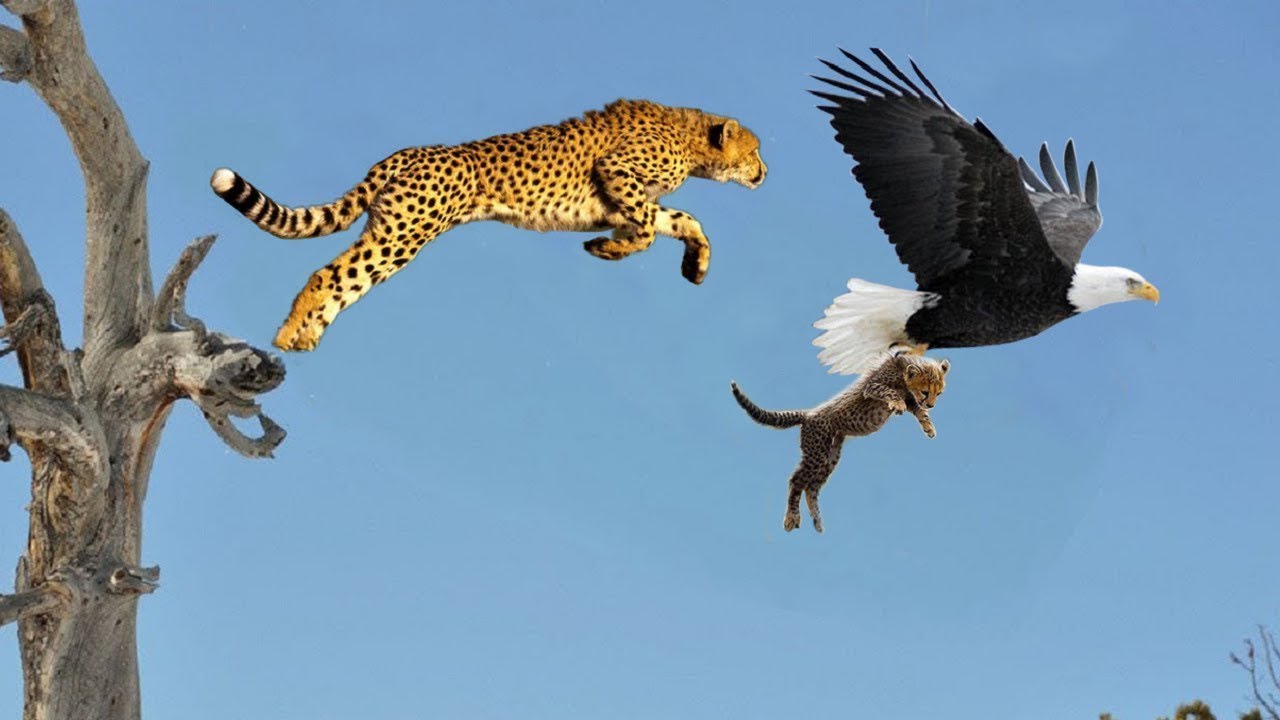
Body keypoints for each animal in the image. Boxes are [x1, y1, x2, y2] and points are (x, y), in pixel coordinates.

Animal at [209, 99, 767, 351]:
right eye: (755, 151)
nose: (764, 173)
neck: (689, 134)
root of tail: (404, 153)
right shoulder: (616, 174)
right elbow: (650, 229)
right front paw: (609, 249)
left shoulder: (624, 199)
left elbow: (683, 220)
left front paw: (696, 265)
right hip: (404, 235)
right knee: (331, 274)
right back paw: (288, 334)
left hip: (392, 230)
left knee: (346, 278)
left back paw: (306, 334)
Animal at [730, 352, 949, 533]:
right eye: (925, 392)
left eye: (938, 393)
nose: (932, 404)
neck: (902, 371)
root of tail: (808, 414)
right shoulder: (873, 387)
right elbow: (890, 392)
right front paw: (898, 404)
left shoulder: (910, 398)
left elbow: (919, 411)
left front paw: (928, 427)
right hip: (817, 453)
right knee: (797, 480)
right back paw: (792, 517)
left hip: (830, 456)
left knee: (812, 486)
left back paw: (817, 522)